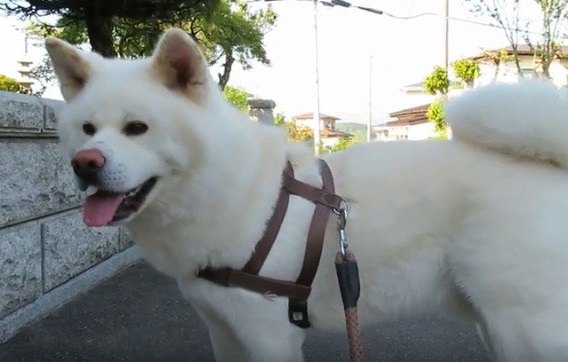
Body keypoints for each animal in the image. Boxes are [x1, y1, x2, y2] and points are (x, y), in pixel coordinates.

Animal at [46, 29, 568, 362]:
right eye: (87, 130)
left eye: (137, 128)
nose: (84, 163)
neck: (223, 186)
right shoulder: (222, 328)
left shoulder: (266, 334)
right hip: (494, 321)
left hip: (524, 327)